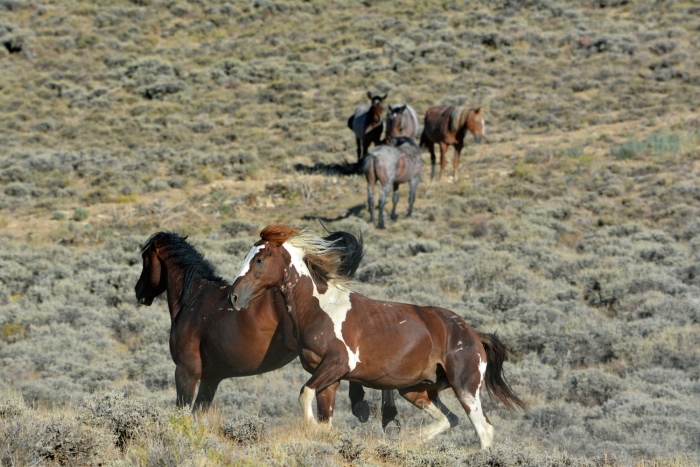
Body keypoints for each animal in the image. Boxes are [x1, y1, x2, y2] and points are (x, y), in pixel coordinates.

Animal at [228, 227, 524, 450]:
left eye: (259, 260)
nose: (233, 296)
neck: (320, 308)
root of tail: (473, 333)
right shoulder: (328, 378)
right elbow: (323, 414)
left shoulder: (338, 364)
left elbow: (304, 393)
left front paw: (310, 428)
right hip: (416, 389)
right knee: (448, 419)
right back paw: (408, 440)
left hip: (465, 387)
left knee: (483, 429)